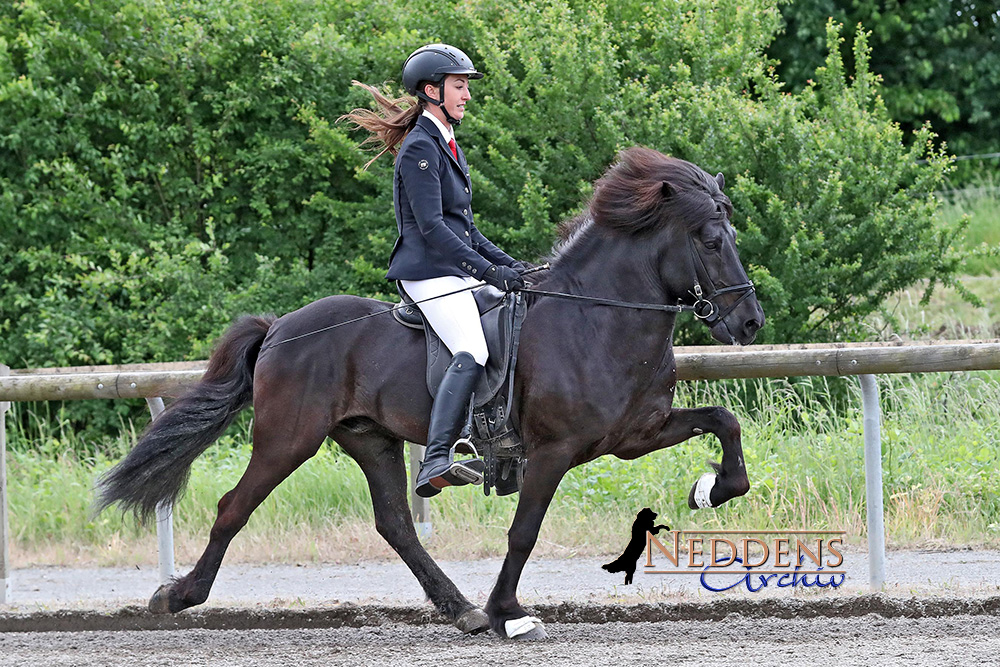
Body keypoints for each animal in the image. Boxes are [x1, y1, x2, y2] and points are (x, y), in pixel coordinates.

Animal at [95, 147, 764, 640]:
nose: (750, 323)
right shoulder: (554, 450)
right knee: (235, 506)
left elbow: (723, 419)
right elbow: (524, 531)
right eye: (710, 239)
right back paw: (178, 595)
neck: (599, 318)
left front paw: (712, 488)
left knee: (395, 523)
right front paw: (509, 614)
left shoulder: (633, 434)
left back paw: (459, 607)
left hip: (371, 439)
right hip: (288, 439)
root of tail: (283, 326)